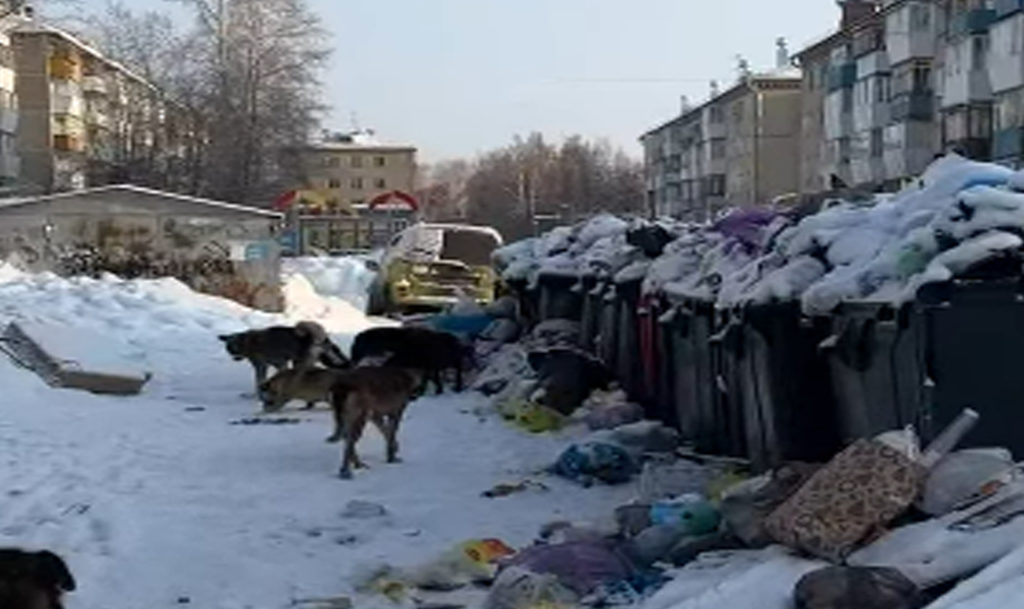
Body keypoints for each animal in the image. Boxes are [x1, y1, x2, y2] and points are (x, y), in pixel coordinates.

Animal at [218, 321, 350, 393]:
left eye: (234, 348)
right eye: (228, 349)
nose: (235, 357)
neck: (249, 342)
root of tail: (321, 338)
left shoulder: (263, 365)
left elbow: (260, 380)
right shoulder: (279, 363)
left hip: (301, 362)